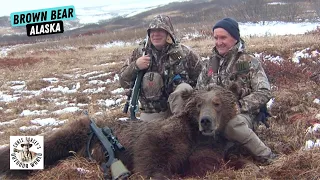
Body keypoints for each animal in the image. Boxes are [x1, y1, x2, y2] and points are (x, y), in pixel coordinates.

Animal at [0, 85, 240, 179]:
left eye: (217, 103)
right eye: (198, 104)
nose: (206, 121)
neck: (195, 136)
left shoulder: (206, 149)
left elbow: (204, 163)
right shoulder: (165, 136)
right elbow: (150, 153)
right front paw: (158, 174)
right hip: (78, 131)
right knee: (52, 143)